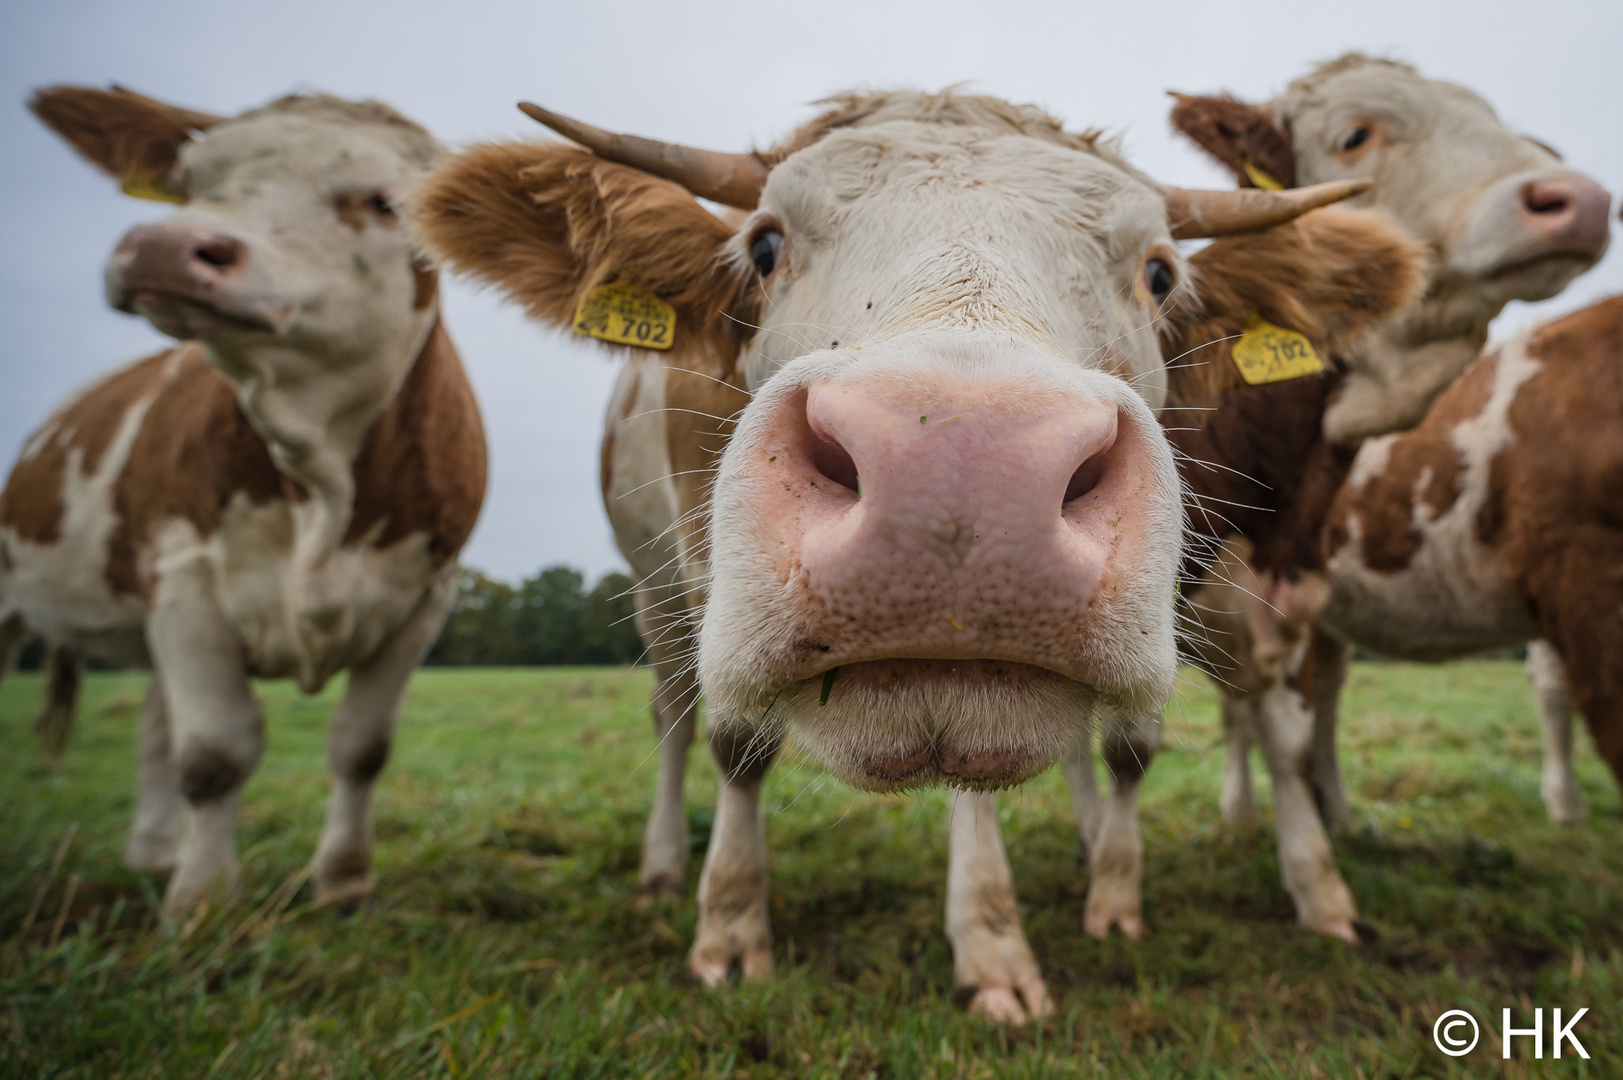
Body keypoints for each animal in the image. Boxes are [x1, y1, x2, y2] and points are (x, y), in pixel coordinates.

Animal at [0, 88, 483, 915]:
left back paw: (152, 850)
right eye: (189, 183)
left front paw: (343, 882)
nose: (164, 248)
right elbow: (214, 755)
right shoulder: (183, 575)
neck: (321, 471)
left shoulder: (426, 595)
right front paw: (200, 900)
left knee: (153, 723)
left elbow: (361, 746)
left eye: (381, 202)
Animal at [412, 86, 1428, 1019]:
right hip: (654, 592)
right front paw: (730, 930)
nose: (965, 468)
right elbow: (736, 744)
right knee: (671, 710)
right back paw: (664, 867)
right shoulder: (700, 570)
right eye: (764, 246)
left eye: (1159, 275)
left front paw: (991, 944)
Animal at [1090, 54, 1610, 935]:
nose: (1576, 200)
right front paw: (1114, 895)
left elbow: (1290, 739)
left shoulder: (1287, 590)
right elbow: (1129, 744)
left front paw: (1319, 886)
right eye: (1355, 135)